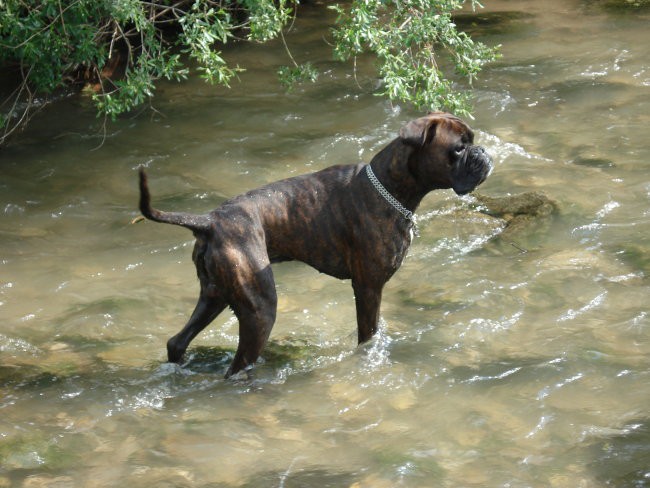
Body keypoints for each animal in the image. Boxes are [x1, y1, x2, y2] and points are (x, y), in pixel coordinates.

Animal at [138, 113, 492, 378]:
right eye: (459, 149)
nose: (484, 153)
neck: (389, 188)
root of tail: (210, 221)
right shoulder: (368, 289)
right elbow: (368, 336)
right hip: (259, 310)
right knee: (236, 367)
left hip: (214, 296)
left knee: (176, 342)